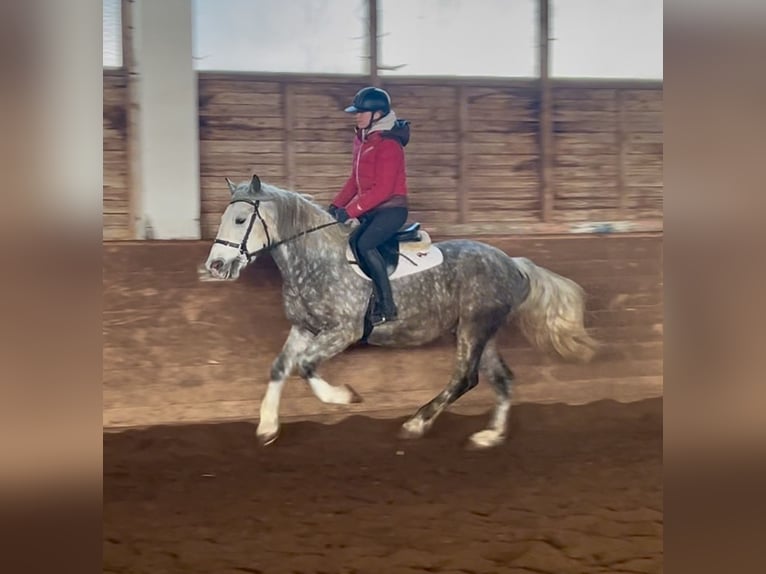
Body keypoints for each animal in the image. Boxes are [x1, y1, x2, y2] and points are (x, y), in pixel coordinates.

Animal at [204, 176, 600, 450]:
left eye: (240, 219)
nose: (216, 266)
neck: (316, 259)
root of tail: (512, 263)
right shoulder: (303, 328)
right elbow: (280, 368)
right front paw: (267, 428)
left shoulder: (342, 331)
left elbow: (305, 366)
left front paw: (345, 397)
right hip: (479, 330)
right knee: (501, 379)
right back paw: (488, 436)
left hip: (474, 327)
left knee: (464, 377)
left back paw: (416, 424)